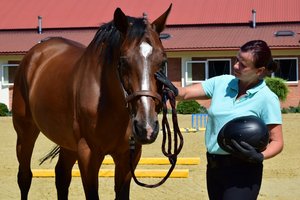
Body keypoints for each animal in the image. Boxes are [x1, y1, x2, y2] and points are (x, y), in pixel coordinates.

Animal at [12, 5, 171, 199]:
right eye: (123, 61)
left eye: (163, 61)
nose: (146, 128)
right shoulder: (88, 155)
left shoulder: (128, 156)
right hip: (25, 133)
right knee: (25, 177)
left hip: (68, 142)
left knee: (62, 176)